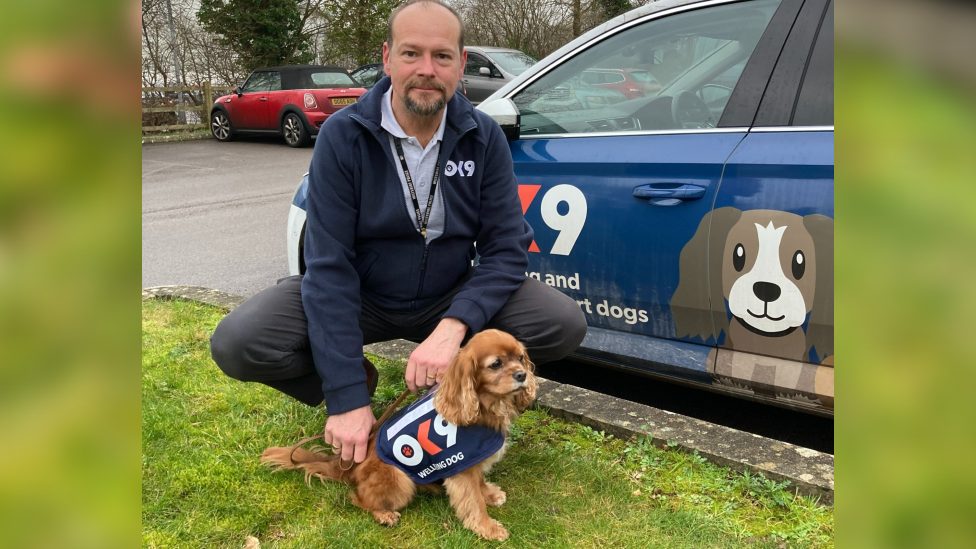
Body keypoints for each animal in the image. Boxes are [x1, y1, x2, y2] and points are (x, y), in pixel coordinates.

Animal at [260, 330, 536, 540]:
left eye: (521, 357)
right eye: (496, 364)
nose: (522, 374)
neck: (485, 406)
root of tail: (349, 466)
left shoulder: (472, 460)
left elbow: (480, 483)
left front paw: (490, 494)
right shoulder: (462, 467)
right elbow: (474, 501)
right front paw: (488, 528)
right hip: (399, 481)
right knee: (359, 498)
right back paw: (384, 514)